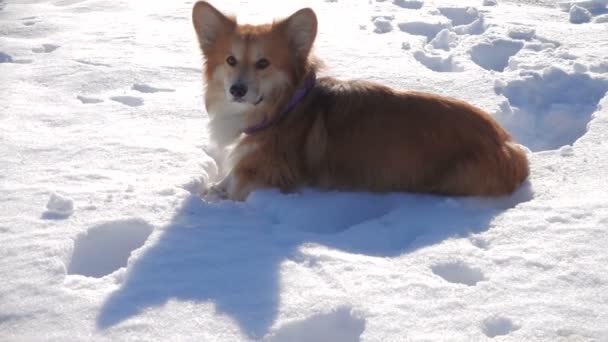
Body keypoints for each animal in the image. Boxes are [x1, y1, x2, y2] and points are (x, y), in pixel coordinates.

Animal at [192, 1, 528, 202]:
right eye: (231, 60)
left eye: (263, 63)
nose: (236, 90)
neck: (283, 106)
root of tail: (506, 142)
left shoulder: (268, 174)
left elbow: (234, 184)